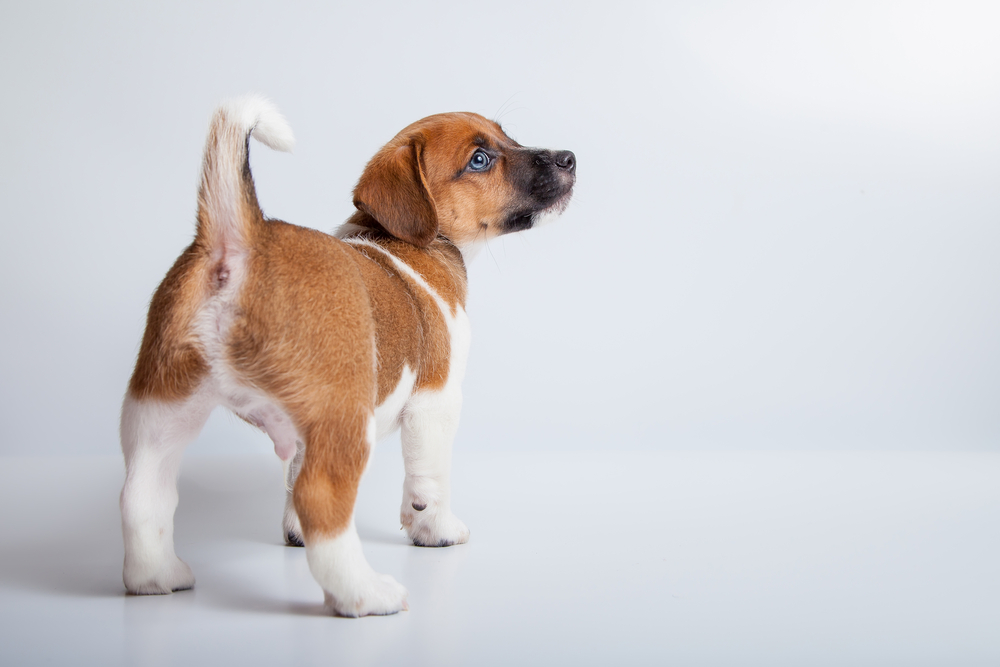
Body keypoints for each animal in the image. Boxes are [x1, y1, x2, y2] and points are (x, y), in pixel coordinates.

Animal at [120, 96, 580, 620]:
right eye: (479, 159)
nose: (569, 158)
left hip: (160, 407)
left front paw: (294, 532)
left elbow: (292, 480)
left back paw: (156, 577)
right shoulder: (436, 402)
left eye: (509, 137)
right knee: (321, 497)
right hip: (346, 417)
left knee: (143, 494)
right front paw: (435, 529)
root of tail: (241, 244)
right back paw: (364, 594)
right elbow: (428, 480)